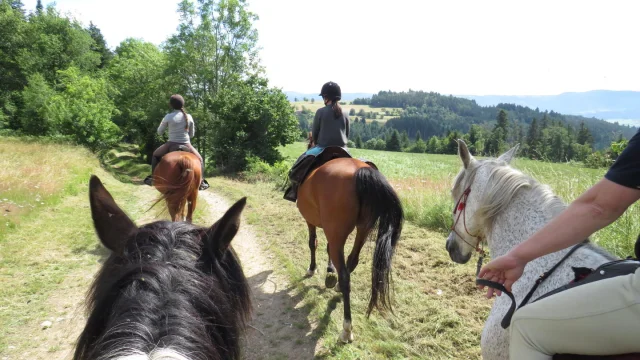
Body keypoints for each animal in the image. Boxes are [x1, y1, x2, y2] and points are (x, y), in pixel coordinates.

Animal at [296, 134, 404, 344]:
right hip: (362, 230)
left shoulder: (311, 221)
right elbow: (327, 249)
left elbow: (313, 243)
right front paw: (330, 273)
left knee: (346, 275)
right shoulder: (331, 230)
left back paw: (346, 328)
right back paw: (337, 284)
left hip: (338, 231)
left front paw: (313, 269)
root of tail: (360, 171)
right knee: (351, 261)